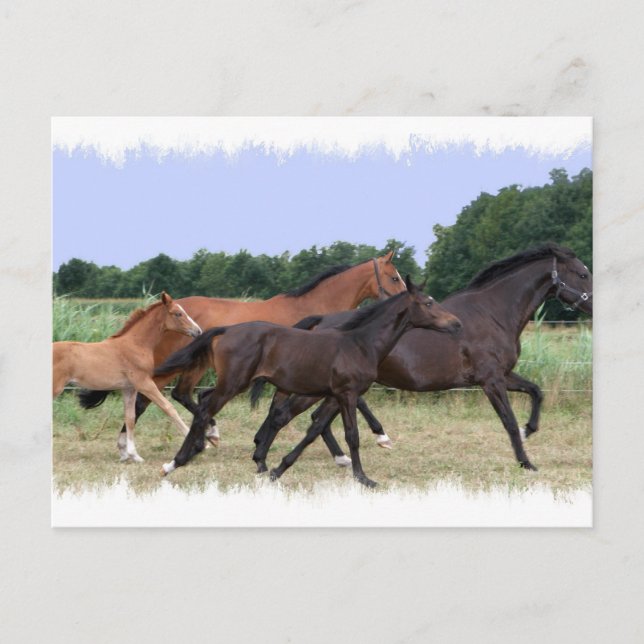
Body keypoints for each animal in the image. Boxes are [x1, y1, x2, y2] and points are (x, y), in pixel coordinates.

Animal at [53, 292, 202, 462]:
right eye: (178, 313)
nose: (198, 331)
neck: (135, 344)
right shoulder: (144, 383)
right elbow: (168, 408)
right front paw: (197, 441)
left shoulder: (129, 388)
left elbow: (129, 417)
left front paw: (133, 455)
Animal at [82, 252, 406, 447]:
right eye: (394, 277)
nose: (405, 301)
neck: (316, 311)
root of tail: (168, 307)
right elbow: (357, 400)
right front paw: (382, 435)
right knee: (154, 397)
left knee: (178, 395)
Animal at [154, 277, 462, 487]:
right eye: (428, 303)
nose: (456, 323)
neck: (359, 343)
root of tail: (226, 329)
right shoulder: (347, 393)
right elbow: (352, 435)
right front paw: (364, 478)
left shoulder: (333, 395)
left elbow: (314, 429)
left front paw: (278, 468)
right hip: (233, 383)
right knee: (203, 409)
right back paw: (174, 463)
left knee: (203, 401)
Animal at [252, 243, 593, 473]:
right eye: (582, 273)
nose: (592, 305)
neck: (493, 313)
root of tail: (321, 320)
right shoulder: (491, 380)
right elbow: (507, 420)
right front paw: (525, 461)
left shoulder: (503, 375)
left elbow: (536, 391)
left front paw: (528, 430)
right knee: (284, 414)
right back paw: (264, 461)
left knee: (309, 419)